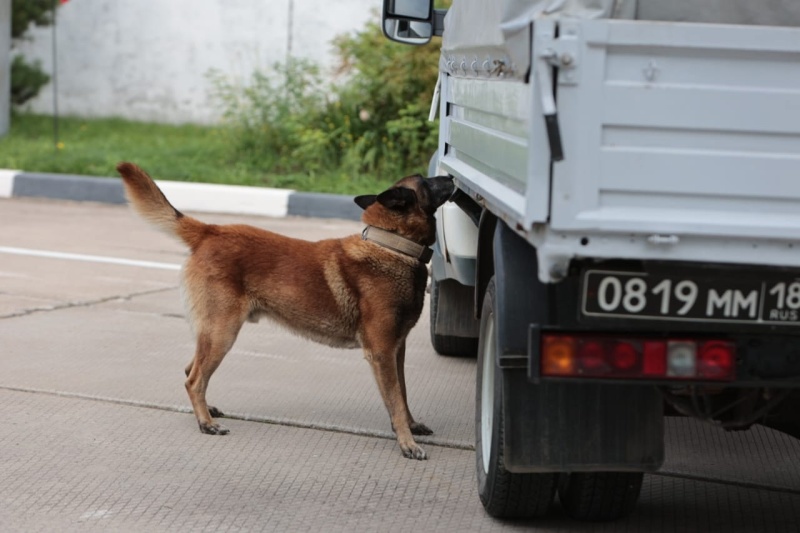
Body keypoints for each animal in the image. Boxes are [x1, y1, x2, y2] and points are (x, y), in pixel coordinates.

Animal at [115, 162, 454, 458]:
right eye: (425, 181)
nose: (450, 177)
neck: (392, 246)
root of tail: (210, 230)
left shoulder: (397, 350)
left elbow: (403, 394)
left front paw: (410, 426)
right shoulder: (382, 352)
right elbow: (395, 400)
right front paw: (407, 443)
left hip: (213, 332)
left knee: (191, 370)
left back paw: (207, 411)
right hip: (223, 332)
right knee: (194, 378)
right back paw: (206, 423)